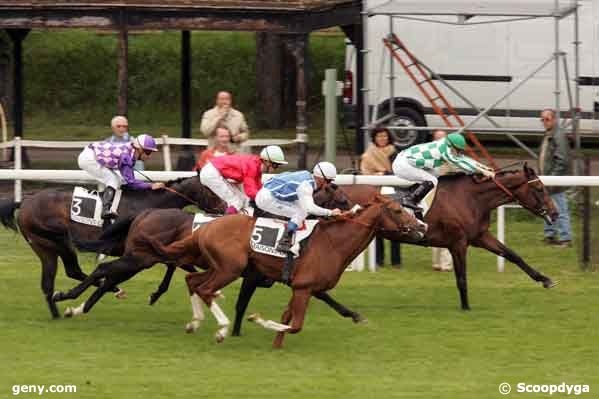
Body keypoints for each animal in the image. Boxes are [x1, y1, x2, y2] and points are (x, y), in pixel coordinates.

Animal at [0, 177, 224, 320]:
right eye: (211, 189)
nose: (223, 208)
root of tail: (26, 200)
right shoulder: (138, 253)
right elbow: (177, 265)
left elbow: (178, 265)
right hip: (57, 241)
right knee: (72, 271)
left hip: (45, 248)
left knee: (55, 279)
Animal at [155, 195, 426, 348]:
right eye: (398, 211)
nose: (422, 227)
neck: (333, 242)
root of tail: (204, 228)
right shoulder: (304, 288)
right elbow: (295, 325)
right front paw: (257, 320)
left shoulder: (300, 287)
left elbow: (287, 317)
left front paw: (276, 344)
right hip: (230, 269)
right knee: (206, 289)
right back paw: (221, 329)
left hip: (219, 267)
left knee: (193, 281)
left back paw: (194, 323)